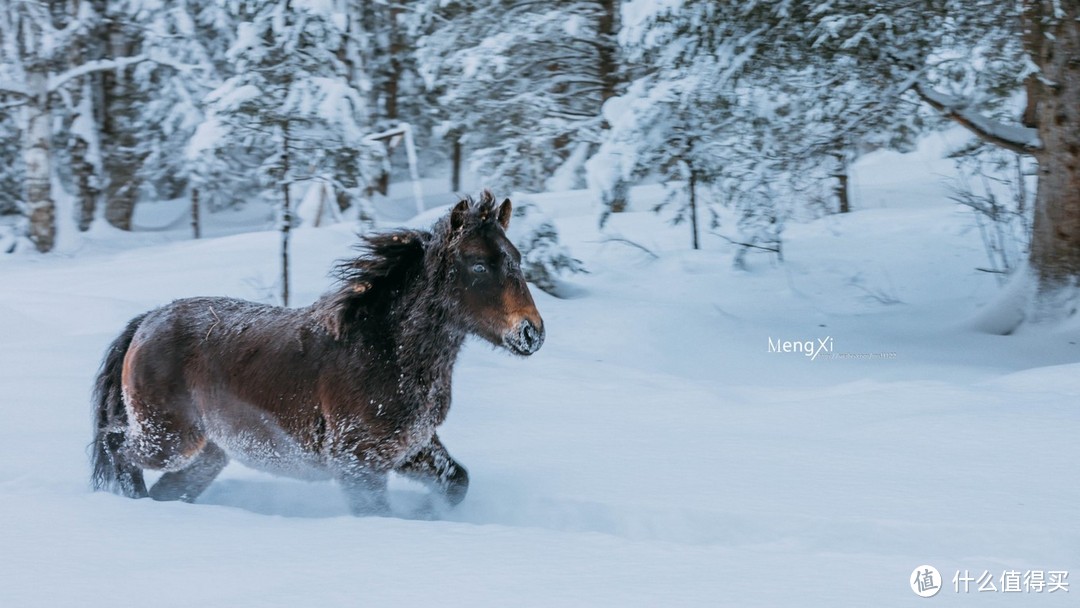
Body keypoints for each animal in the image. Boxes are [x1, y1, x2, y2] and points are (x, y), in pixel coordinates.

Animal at [90, 192, 548, 516]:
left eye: (516, 257)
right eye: (478, 265)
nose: (531, 333)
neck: (386, 353)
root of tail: (147, 322)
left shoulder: (410, 449)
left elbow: (457, 483)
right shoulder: (358, 465)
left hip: (207, 452)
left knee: (167, 486)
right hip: (167, 438)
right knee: (117, 447)